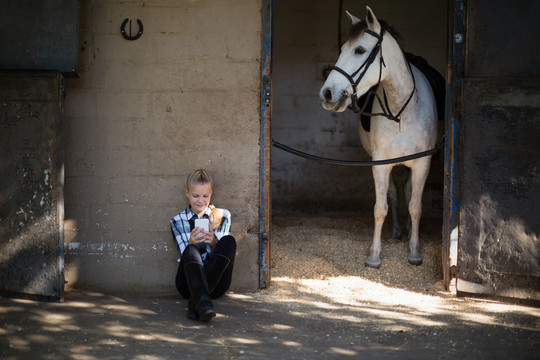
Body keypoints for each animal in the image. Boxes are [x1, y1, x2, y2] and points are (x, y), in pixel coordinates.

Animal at [320, 7, 438, 268]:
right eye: (341, 50)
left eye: (360, 50)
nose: (327, 94)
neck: (401, 112)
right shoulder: (381, 164)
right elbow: (380, 207)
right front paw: (374, 255)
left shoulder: (422, 163)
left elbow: (416, 207)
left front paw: (415, 252)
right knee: (394, 193)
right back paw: (397, 231)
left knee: (408, 192)